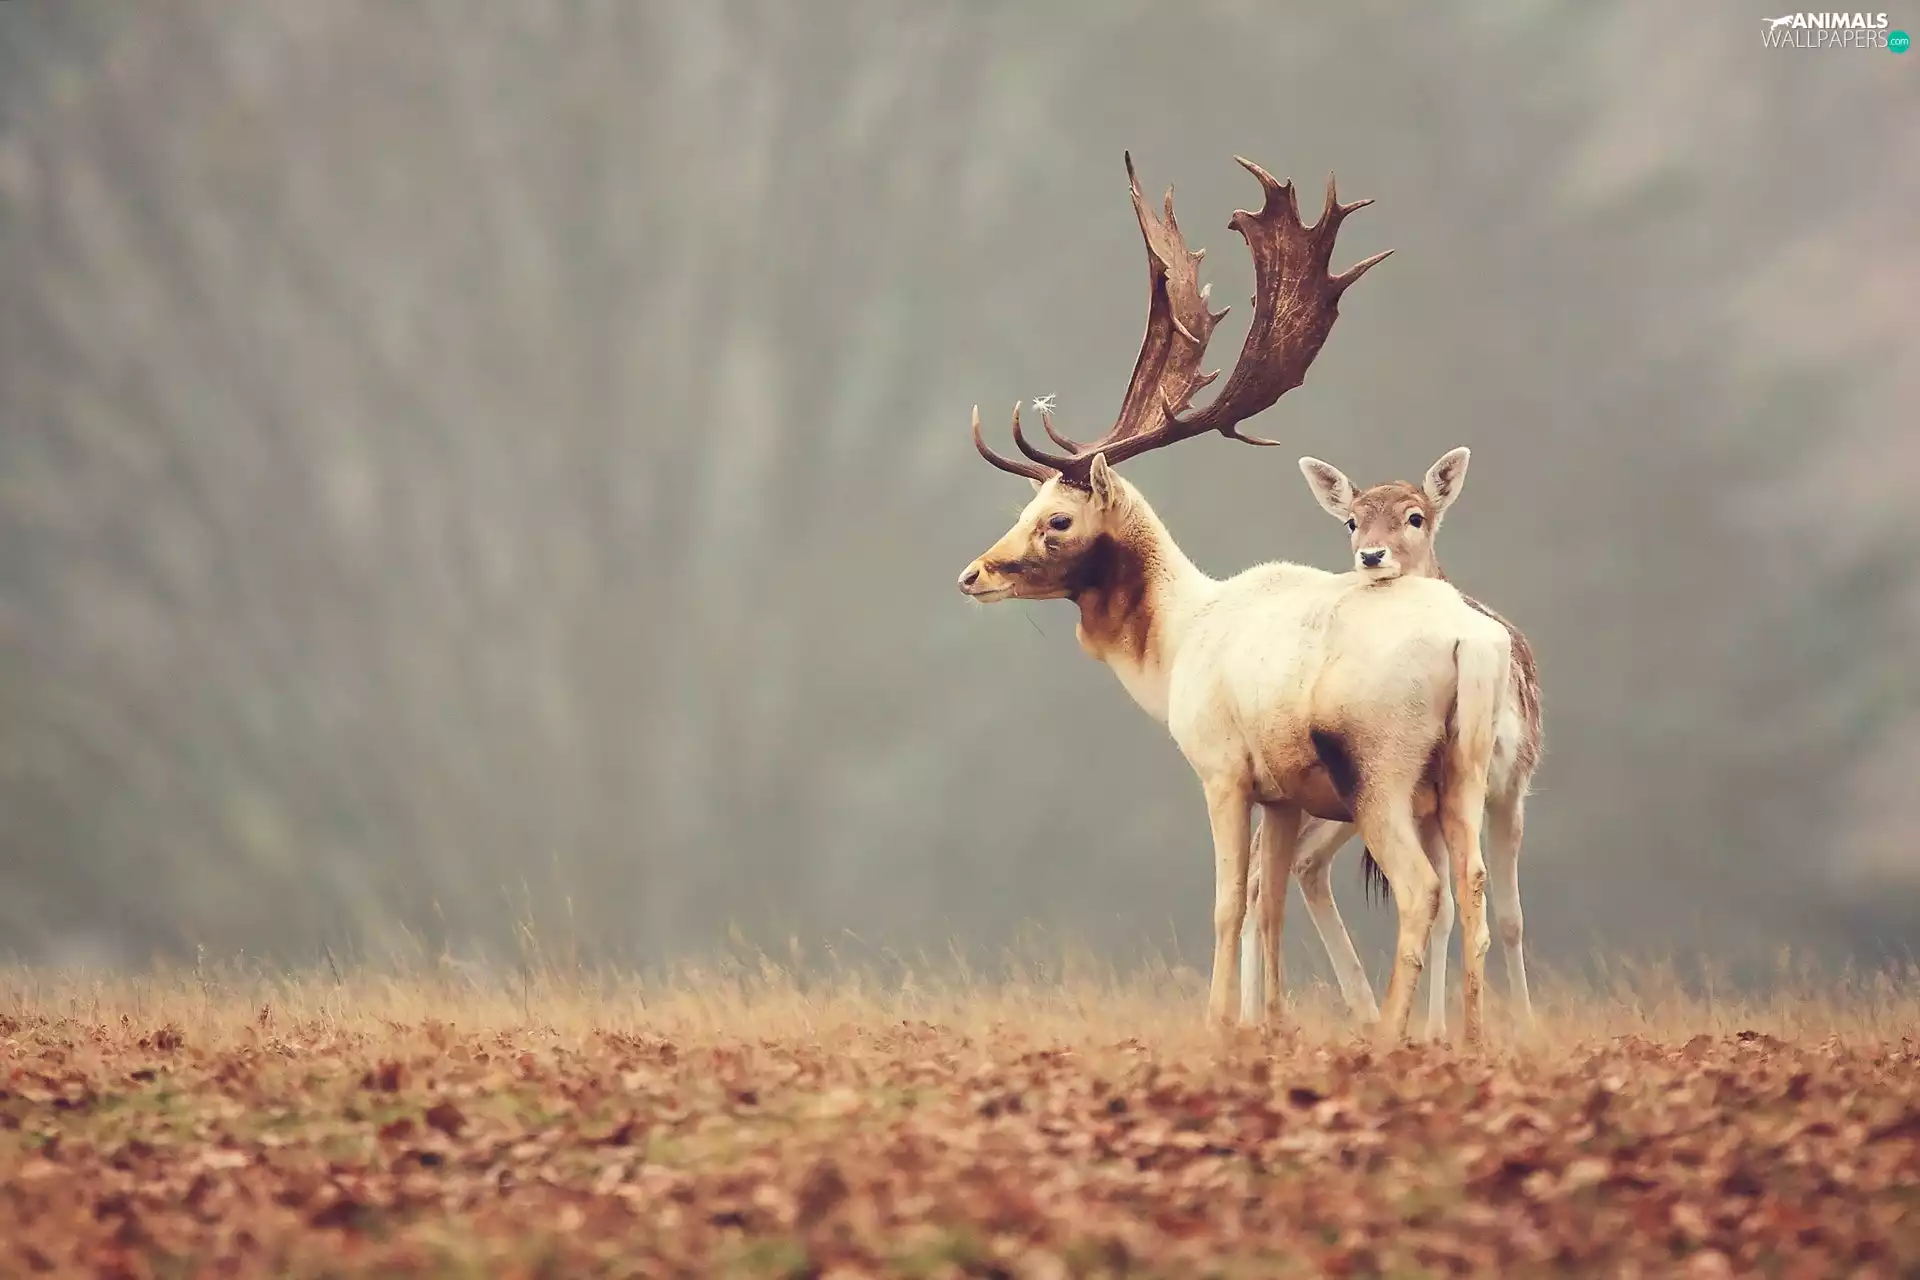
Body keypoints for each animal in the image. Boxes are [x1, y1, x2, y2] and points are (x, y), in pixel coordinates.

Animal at [954, 151, 1513, 1046]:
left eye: (1057, 519)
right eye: (1025, 504)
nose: (974, 573)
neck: (1177, 643)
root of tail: (1474, 644)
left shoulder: (1220, 767)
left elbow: (1226, 903)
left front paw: (1219, 1021)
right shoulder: (1282, 791)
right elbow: (1268, 905)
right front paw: (1270, 1023)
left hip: (1381, 768)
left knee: (1422, 890)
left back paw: (1389, 1035)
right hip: (1464, 771)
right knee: (1476, 892)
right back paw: (1468, 1038)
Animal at [1238, 449, 1544, 1037]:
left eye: (1415, 516)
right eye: (1351, 521)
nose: (1371, 555)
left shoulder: (1513, 783)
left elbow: (1509, 916)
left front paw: (1516, 1023)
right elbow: (1453, 907)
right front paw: (1438, 1030)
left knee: (1296, 865)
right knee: (1270, 869)